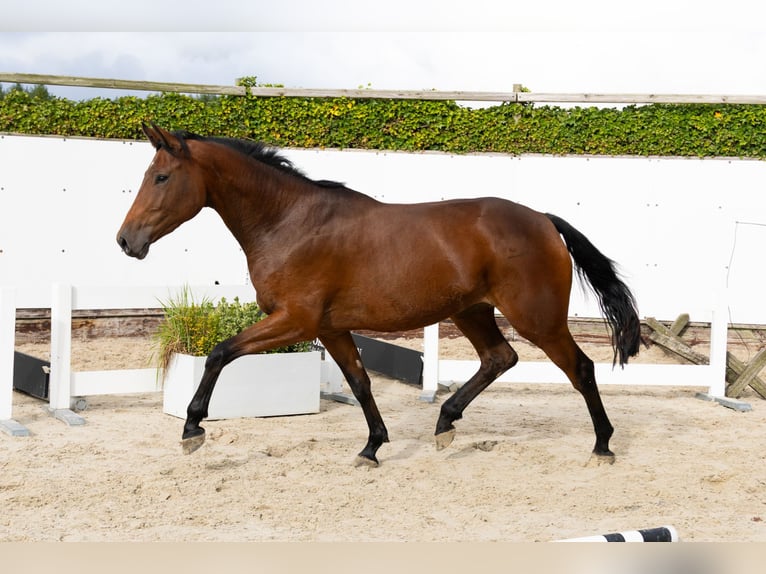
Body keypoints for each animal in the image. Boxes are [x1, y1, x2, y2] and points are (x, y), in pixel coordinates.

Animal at [117, 123, 641, 467]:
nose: (126, 240)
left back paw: (602, 446)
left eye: (161, 177)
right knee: (500, 358)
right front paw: (372, 447)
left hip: (537, 318)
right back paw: (445, 423)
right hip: (472, 312)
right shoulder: (330, 328)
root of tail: (543, 220)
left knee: (580, 368)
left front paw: (192, 428)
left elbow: (219, 354)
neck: (289, 222)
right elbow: (360, 382)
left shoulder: (296, 320)